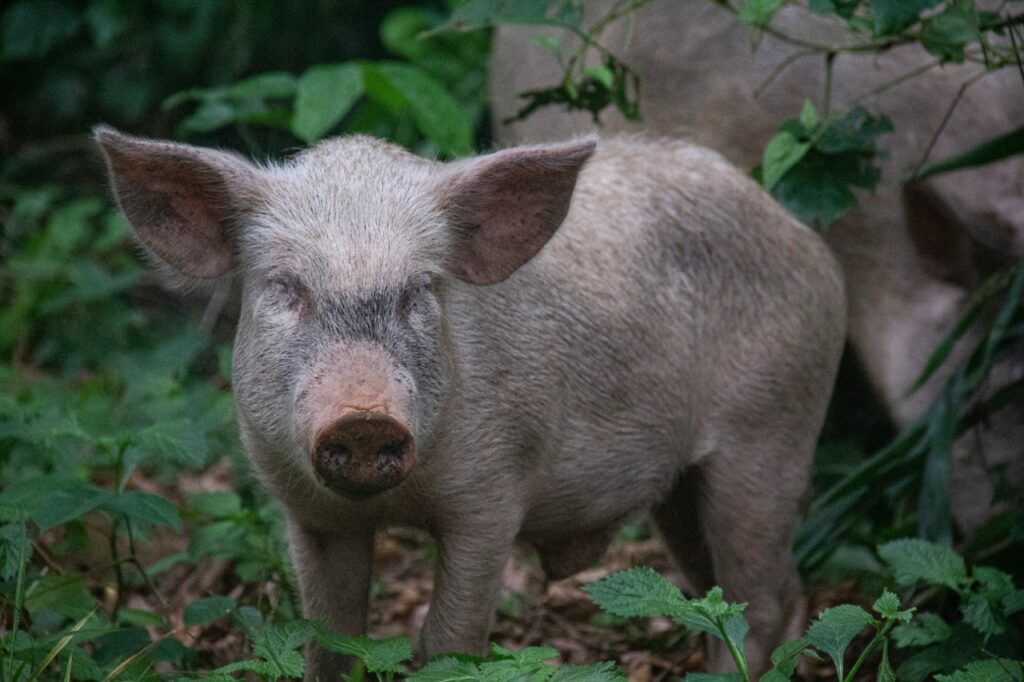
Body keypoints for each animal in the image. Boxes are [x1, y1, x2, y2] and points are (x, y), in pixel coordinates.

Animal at [95, 126, 845, 680]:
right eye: (285, 287)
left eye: (421, 290)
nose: (363, 418)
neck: (397, 504)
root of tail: (805, 238)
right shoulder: (308, 510)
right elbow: (330, 640)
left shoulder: (493, 495)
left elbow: (448, 643)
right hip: (685, 488)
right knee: (725, 592)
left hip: (771, 431)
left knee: (758, 599)